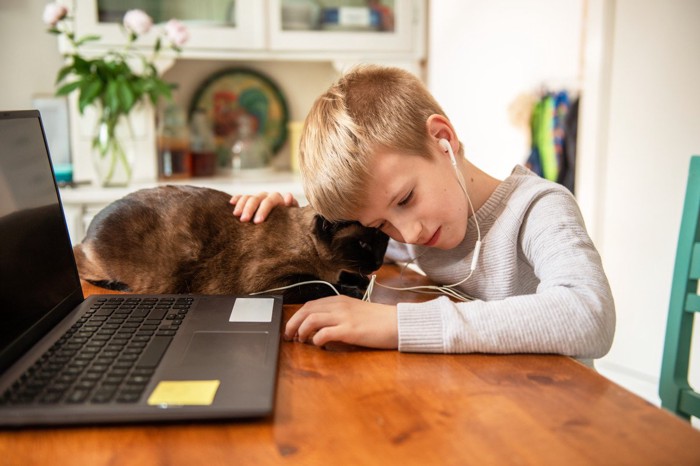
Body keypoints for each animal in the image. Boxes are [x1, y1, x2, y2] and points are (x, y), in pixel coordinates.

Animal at [74, 184, 392, 304]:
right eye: (363, 244)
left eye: (384, 240)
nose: (378, 263)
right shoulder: (274, 283)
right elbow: (322, 286)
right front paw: (354, 290)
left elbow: (346, 277)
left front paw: (362, 282)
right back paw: (117, 285)